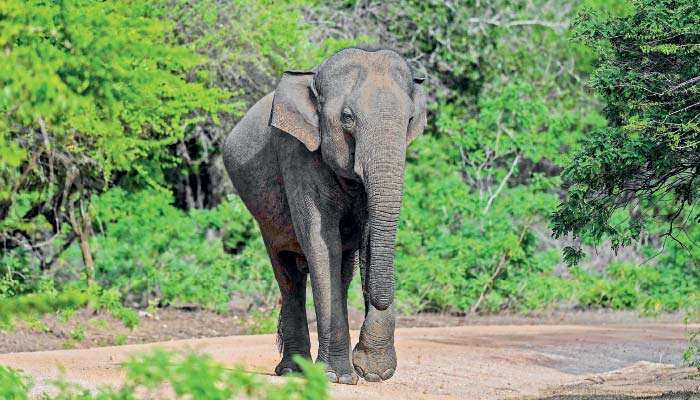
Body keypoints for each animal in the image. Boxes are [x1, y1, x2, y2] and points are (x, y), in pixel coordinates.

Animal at [223, 47, 426, 385]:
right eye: (347, 117)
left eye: (410, 119)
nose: (362, 363)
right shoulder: (297, 154)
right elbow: (321, 242)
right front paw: (338, 378)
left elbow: (366, 240)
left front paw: (373, 372)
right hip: (264, 219)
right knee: (288, 274)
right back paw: (292, 371)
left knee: (341, 271)